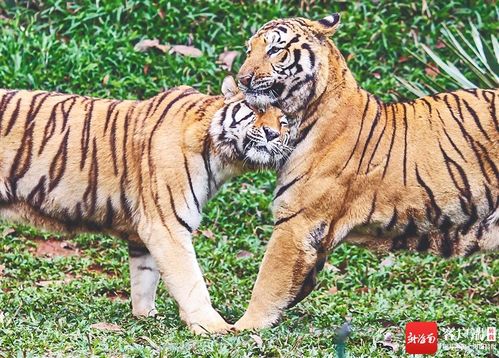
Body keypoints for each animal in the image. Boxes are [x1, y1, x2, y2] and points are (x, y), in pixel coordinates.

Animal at [232, 14, 498, 332]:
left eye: (274, 50)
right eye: (249, 51)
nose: (242, 80)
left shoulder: (297, 223)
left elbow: (268, 281)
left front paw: (241, 327)